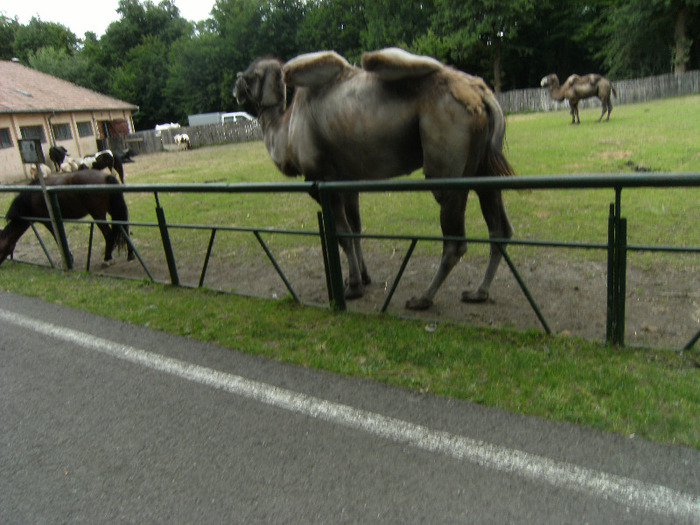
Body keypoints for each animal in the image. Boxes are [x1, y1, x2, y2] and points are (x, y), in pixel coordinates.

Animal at [1, 171, 134, 266]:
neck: (30, 198)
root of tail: (106, 177)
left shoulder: (49, 222)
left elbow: (58, 238)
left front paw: (69, 258)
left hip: (98, 215)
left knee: (108, 235)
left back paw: (107, 259)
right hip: (112, 211)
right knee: (125, 230)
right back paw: (130, 255)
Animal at [235, 47, 516, 310]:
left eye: (250, 76)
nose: (235, 87)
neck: (286, 132)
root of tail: (482, 95)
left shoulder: (321, 179)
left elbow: (343, 234)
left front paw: (353, 287)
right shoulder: (347, 181)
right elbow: (355, 229)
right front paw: (363, 277)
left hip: (447, 160)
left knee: (455, 240)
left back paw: (422, 298)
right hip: (483, 167)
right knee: (499, 228)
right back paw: (479, 292)